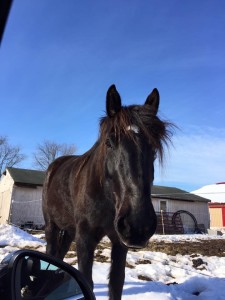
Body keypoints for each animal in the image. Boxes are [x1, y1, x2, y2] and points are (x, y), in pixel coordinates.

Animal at [42, 85, 172, 300]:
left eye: (154, 147)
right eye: (109, 142)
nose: (139, 224)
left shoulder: (120, 243)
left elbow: (116, 283)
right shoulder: (85, 239)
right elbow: (87, 281)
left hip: (69, 229)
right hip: (51, 226)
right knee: (51, 253)